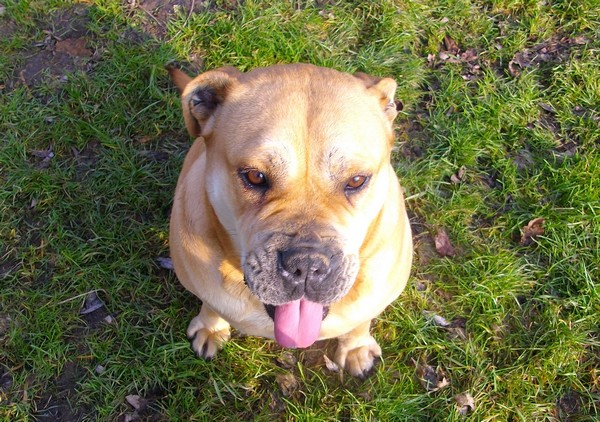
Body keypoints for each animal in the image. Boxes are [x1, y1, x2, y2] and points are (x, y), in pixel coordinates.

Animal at [167, 63, 413, 377]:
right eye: (255, 176)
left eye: (357, 180)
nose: (306, 264)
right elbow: (211, 306)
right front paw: (211, 327)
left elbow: (361, 320)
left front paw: (356, 347)